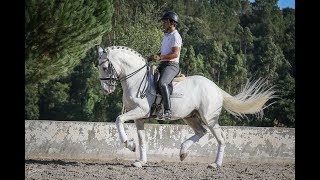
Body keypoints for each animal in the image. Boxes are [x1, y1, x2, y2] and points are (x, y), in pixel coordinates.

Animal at [96, 45, 276, 169]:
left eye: (105, 67)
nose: (105, 90)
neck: (136, 79)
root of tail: (215, 88)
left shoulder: (141, 111)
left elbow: (119, 119)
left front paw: (128, 143)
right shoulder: (139, 117)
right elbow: (142, 139)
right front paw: (140, 160)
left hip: (209, 118)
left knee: (220, 138)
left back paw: (215, 164)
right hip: (190, 117)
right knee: (201, 132)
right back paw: (183, 152)